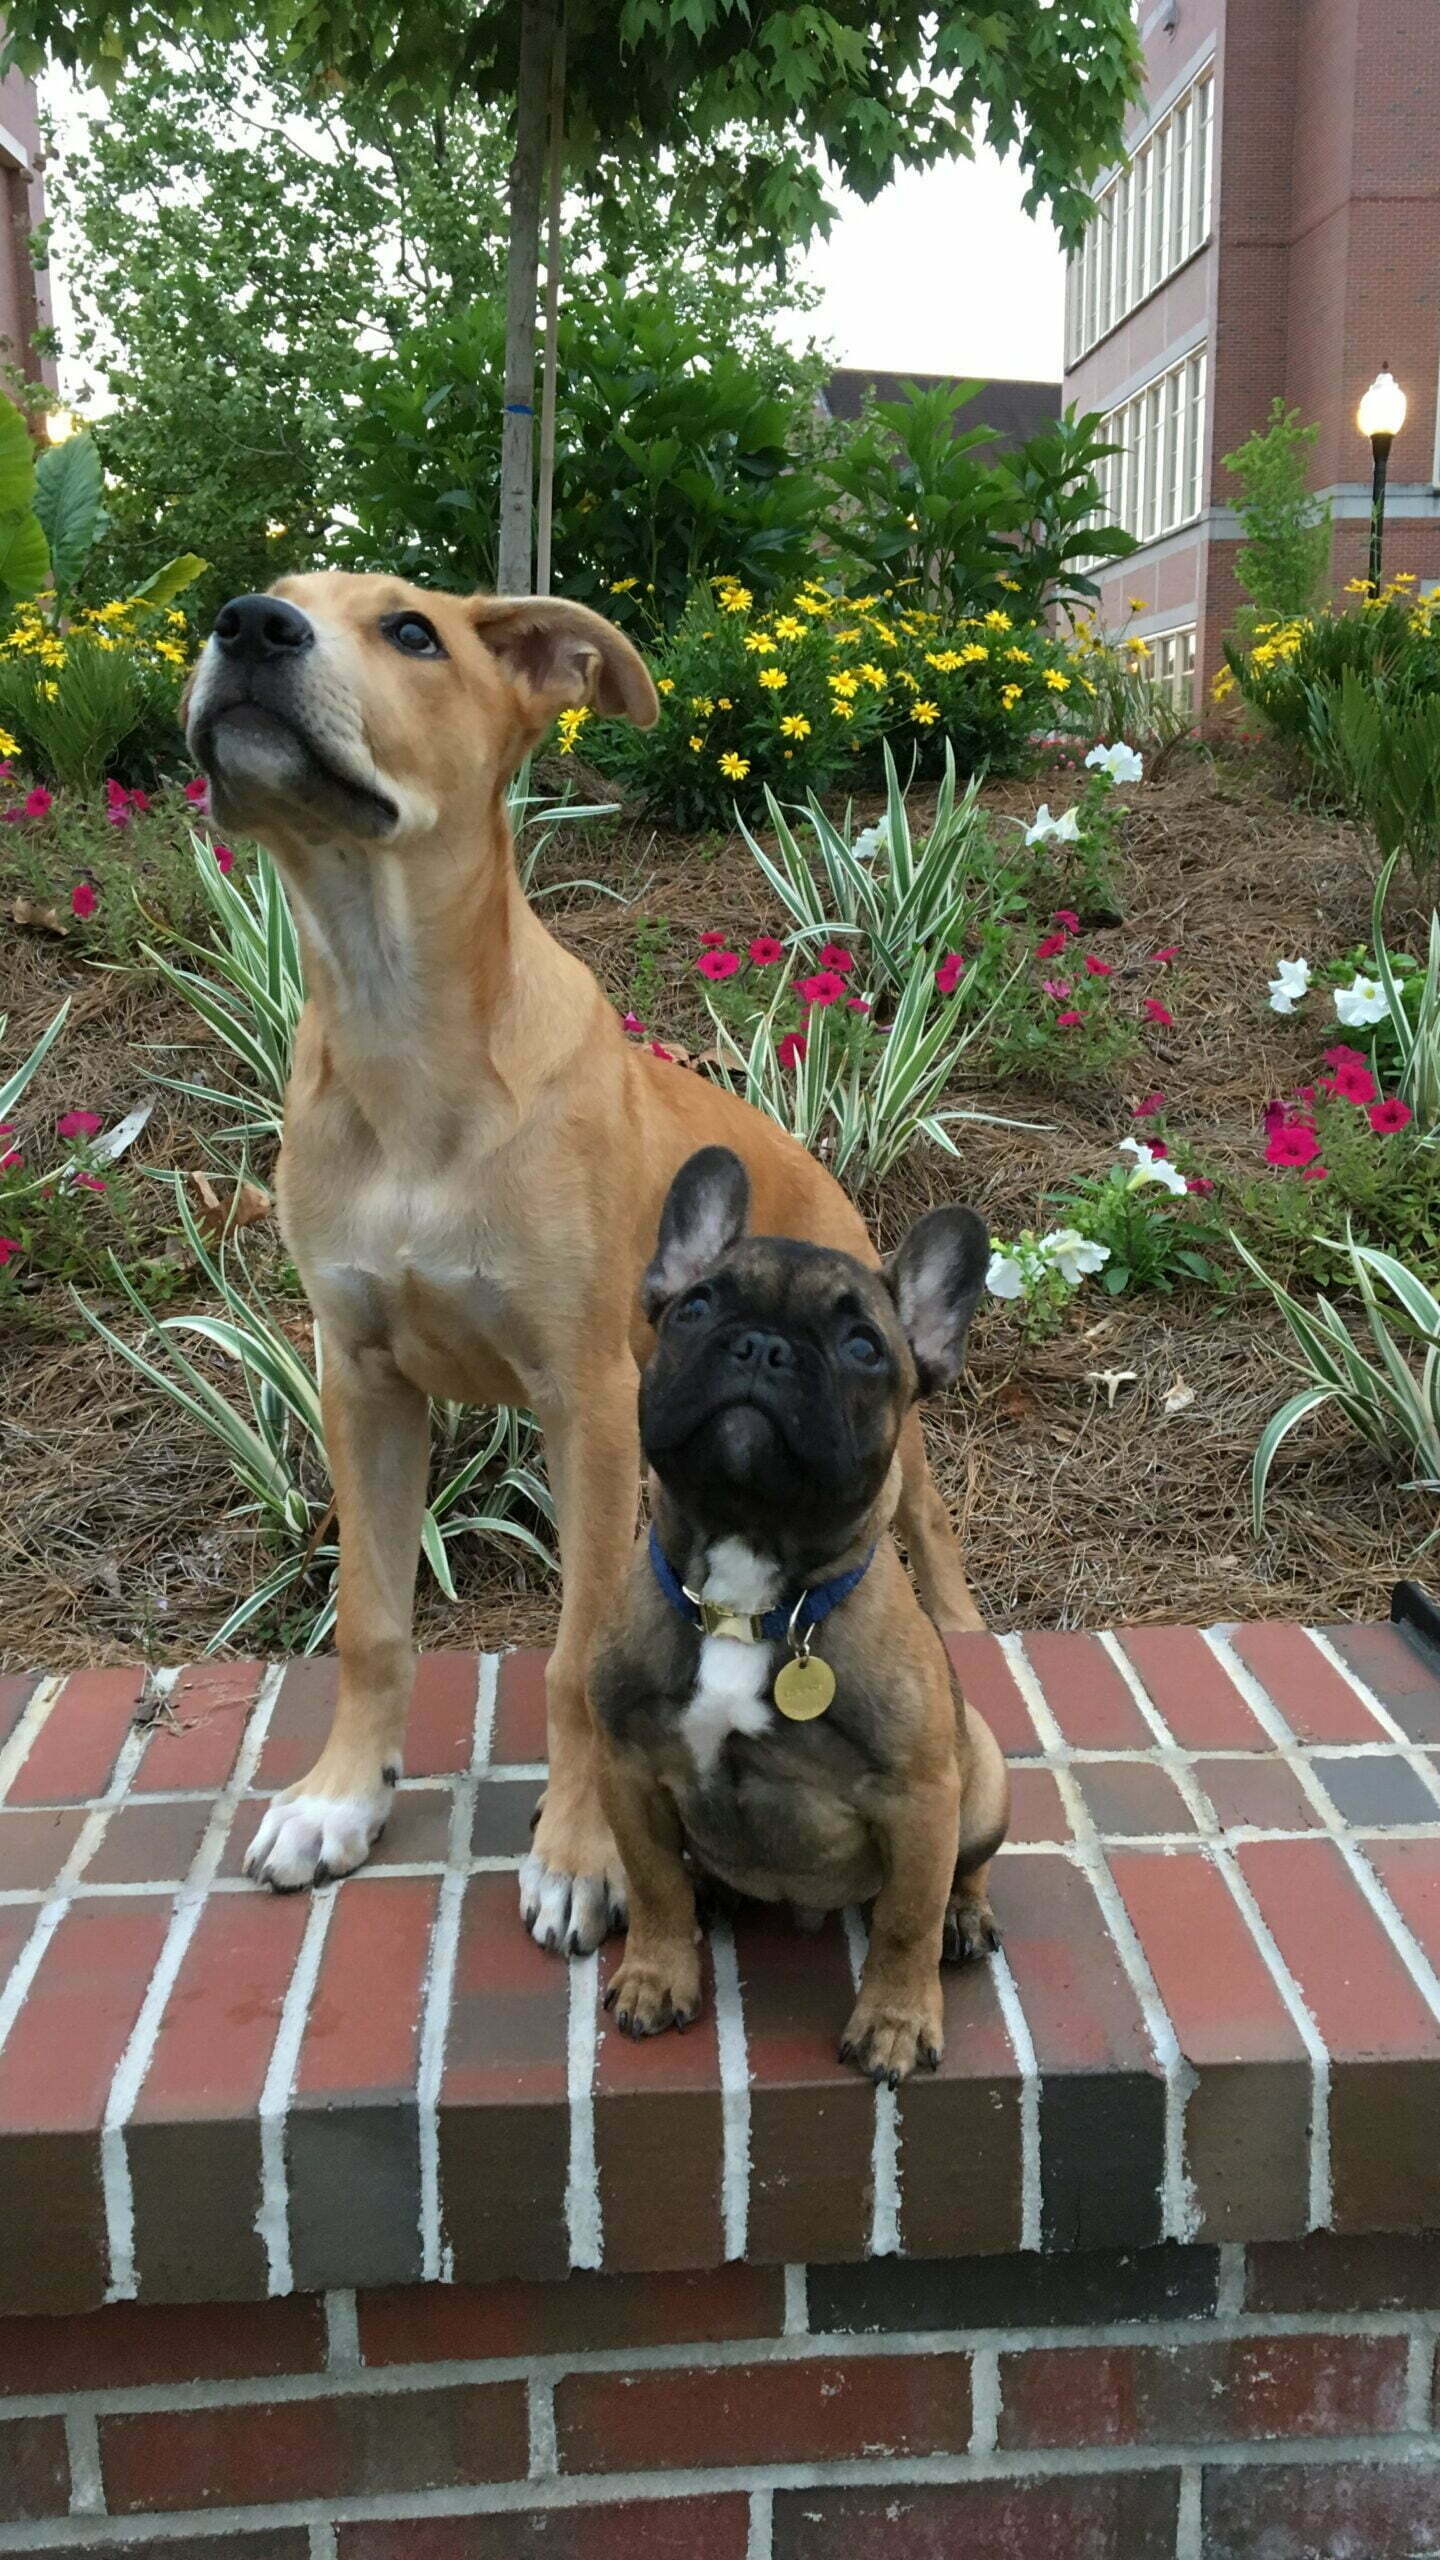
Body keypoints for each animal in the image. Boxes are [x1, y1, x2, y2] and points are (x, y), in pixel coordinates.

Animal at [184, 570, 978, 1945]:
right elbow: (371, 1620)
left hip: (900, 1448)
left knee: (935, 1547)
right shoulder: (359, 1380)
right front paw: (343, 1795)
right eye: (276, 597)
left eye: (412, 632)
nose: (248, 626)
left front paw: (580, 1847)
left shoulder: (591, 1402)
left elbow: (574, 1657)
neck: (403, 1039)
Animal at [589, 1152, 1004, 2088]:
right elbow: (654, 1885)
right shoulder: (627, 1766)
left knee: (964, 1871)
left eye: (862, 1348)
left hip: (983, 1774)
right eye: (696, 1306)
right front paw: (656, 1974)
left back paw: (965, 1918)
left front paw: (894, 2023)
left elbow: (904, 1922)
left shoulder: (921, 1799)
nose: (762, 1346)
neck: (746, 1594)